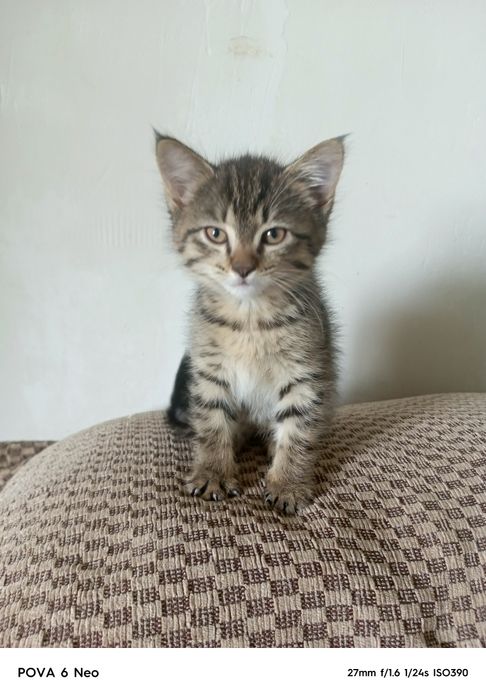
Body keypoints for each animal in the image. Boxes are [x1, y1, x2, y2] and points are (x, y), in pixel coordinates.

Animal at [155, 133, 344, 514]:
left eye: (273, 235)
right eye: (215, 234)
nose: (243, 267)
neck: (250, 318)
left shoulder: (306, 371)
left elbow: (299, 427)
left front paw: (288, 483)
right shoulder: (209, 371)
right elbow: (212, 422)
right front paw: (213, 470)